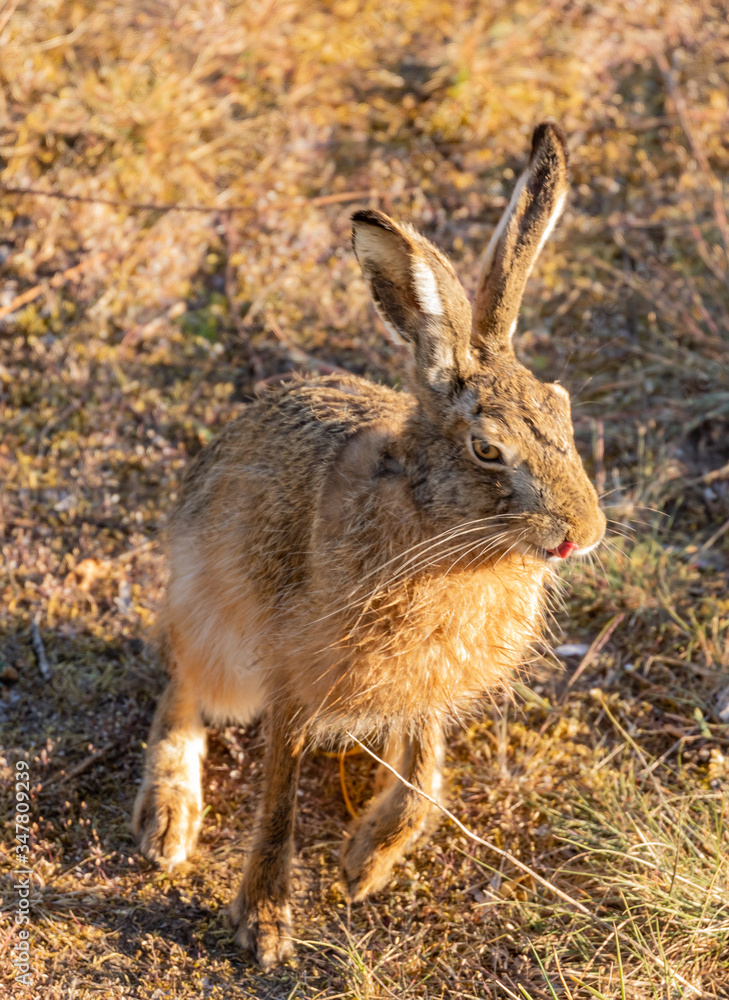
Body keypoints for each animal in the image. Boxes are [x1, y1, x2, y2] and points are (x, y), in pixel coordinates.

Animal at [133, 122, 606, 969]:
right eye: (487, 450)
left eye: (562, 410)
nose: (583, 535)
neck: (440, 534)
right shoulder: (293, 678)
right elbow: (279, 801)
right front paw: (265, 923)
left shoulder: (427, 686)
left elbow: (424, 771)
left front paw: (365, 864)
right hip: (215, 632)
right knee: (180, 687)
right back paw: (169, 819)